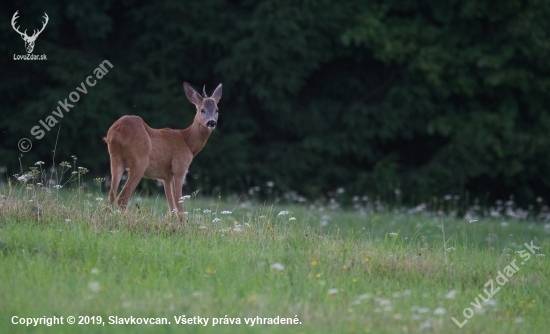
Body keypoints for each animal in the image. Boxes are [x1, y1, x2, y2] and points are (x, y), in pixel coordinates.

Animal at [105, 83, 222, 219]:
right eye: (202, 110)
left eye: (217, 110)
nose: (211, 122)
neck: (187, 142)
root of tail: (115, 132)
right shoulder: (179, 168)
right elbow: (179, 206)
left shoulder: (166, 178)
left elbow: (172, 208)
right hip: (139, 161)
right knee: (122, 198)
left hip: (115, 159)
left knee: (111, 195)